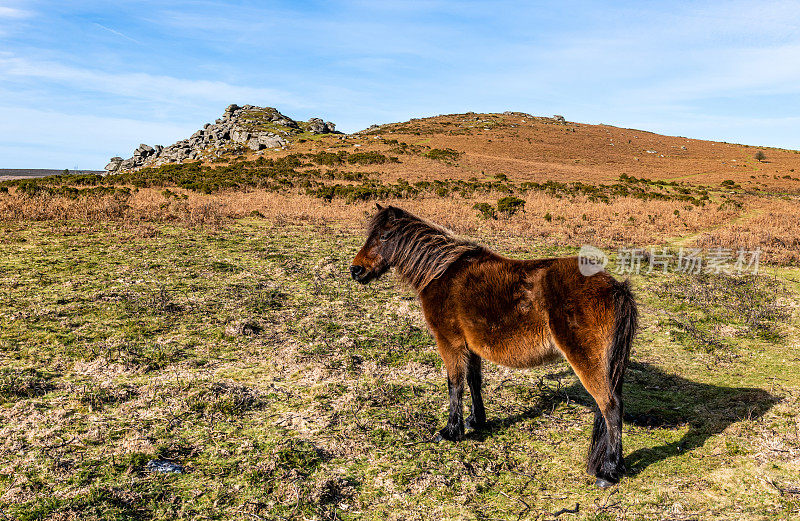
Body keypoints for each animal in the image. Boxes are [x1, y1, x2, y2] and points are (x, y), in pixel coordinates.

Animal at [350, 204, 636, 488]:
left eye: (384, 236)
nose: (356, 270)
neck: (441, 272)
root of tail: (616, 287)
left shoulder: (450, 344)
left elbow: (454, 385)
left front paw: (451, 431)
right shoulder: (471, 348)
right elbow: (473, 382)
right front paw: (476, 421)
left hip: (586, 361)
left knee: (611, 407)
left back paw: (608, 472)